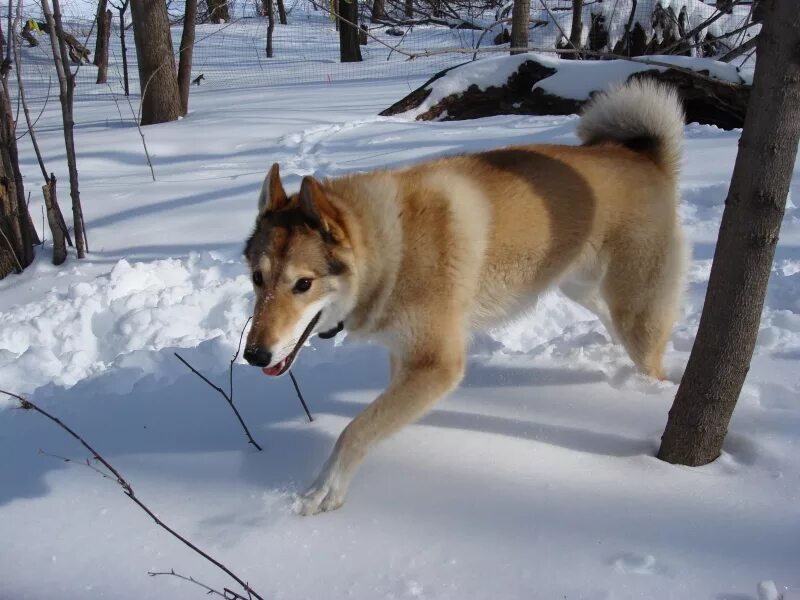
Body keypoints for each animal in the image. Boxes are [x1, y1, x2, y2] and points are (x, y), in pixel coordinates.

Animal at [242, 78, 688, 516]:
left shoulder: (436, 365)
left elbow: (355, 430)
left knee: (652, 359)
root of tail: (644, 159)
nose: (254, 356)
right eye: (257, 279)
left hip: (635, 312)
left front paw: (325, 489)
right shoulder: (406, 356)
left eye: (303, 284)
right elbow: (378, 417)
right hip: (583, 289)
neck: (391, 247)